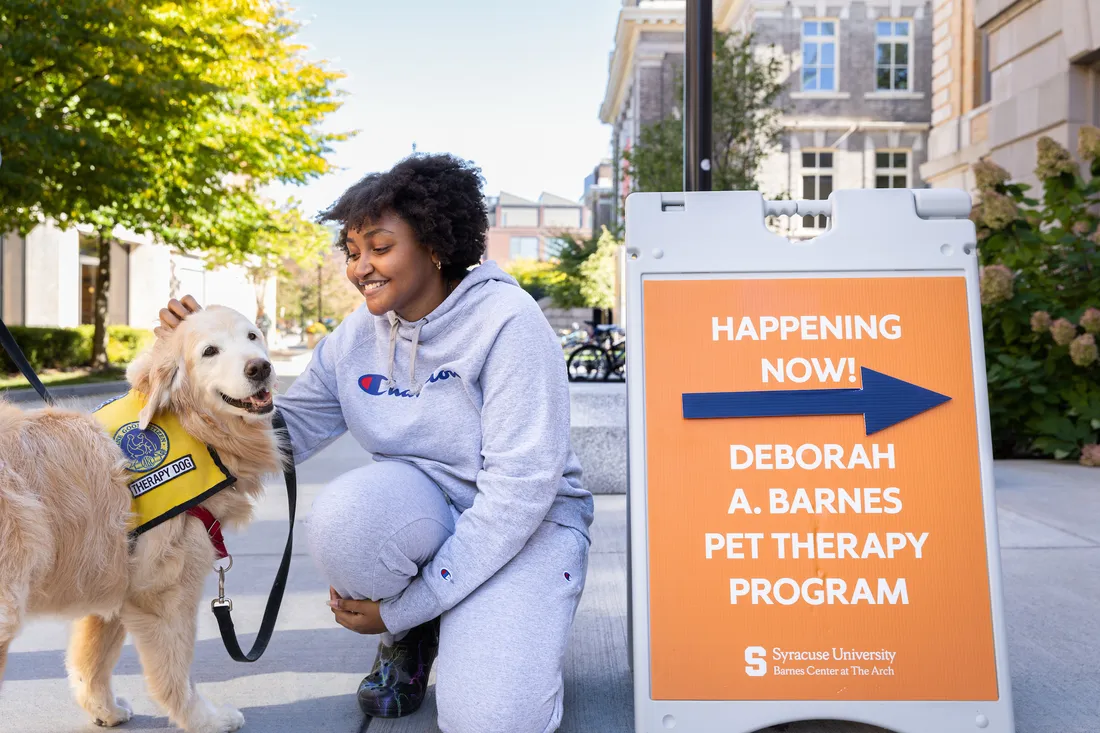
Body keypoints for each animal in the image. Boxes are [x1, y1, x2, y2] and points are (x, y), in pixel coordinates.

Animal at [0, 301, 288, 726]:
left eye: (253, 336)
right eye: (210, 352)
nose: (259, 367)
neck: (194, 426)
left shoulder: (115, 574)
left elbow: (92, 659)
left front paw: (103, 709)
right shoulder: (164, 587)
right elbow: (176, 669)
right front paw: (203, 719)